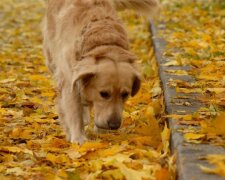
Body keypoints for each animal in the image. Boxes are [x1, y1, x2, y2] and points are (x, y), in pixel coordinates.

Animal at [41, 0, 158, 143]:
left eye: (125, 94)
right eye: (104, 94)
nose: (114, 125)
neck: (103, 43)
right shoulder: (69, 81)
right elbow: (74, 111)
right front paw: (78, 138)